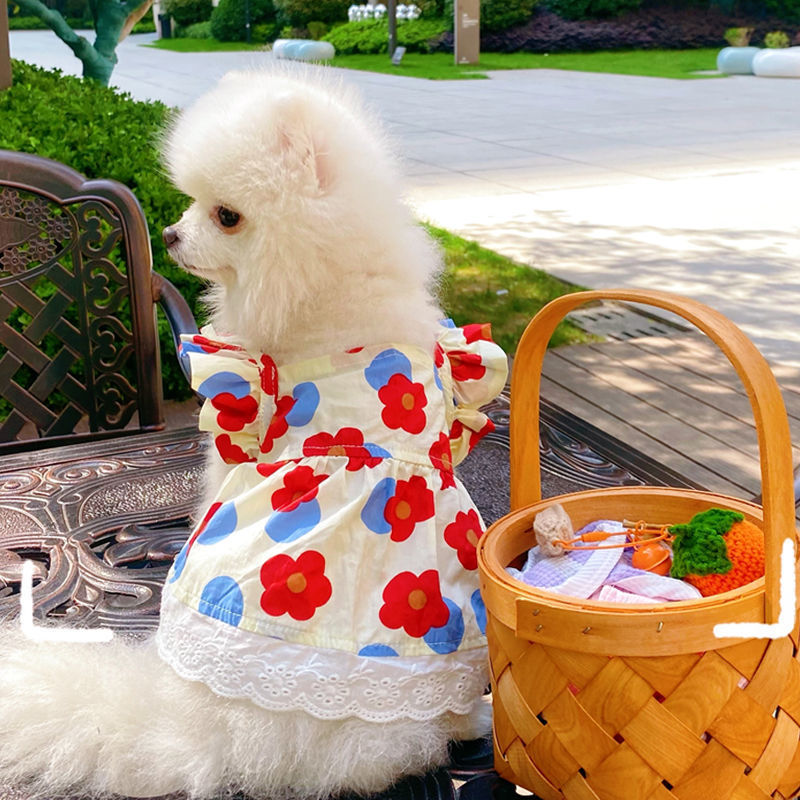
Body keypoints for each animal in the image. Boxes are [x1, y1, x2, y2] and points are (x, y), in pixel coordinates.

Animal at [0, 67, 506, 800]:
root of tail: (202, 730)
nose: (170, 234)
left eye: (227, 216)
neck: (331, 282)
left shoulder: (246, 424)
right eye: (192, 204)